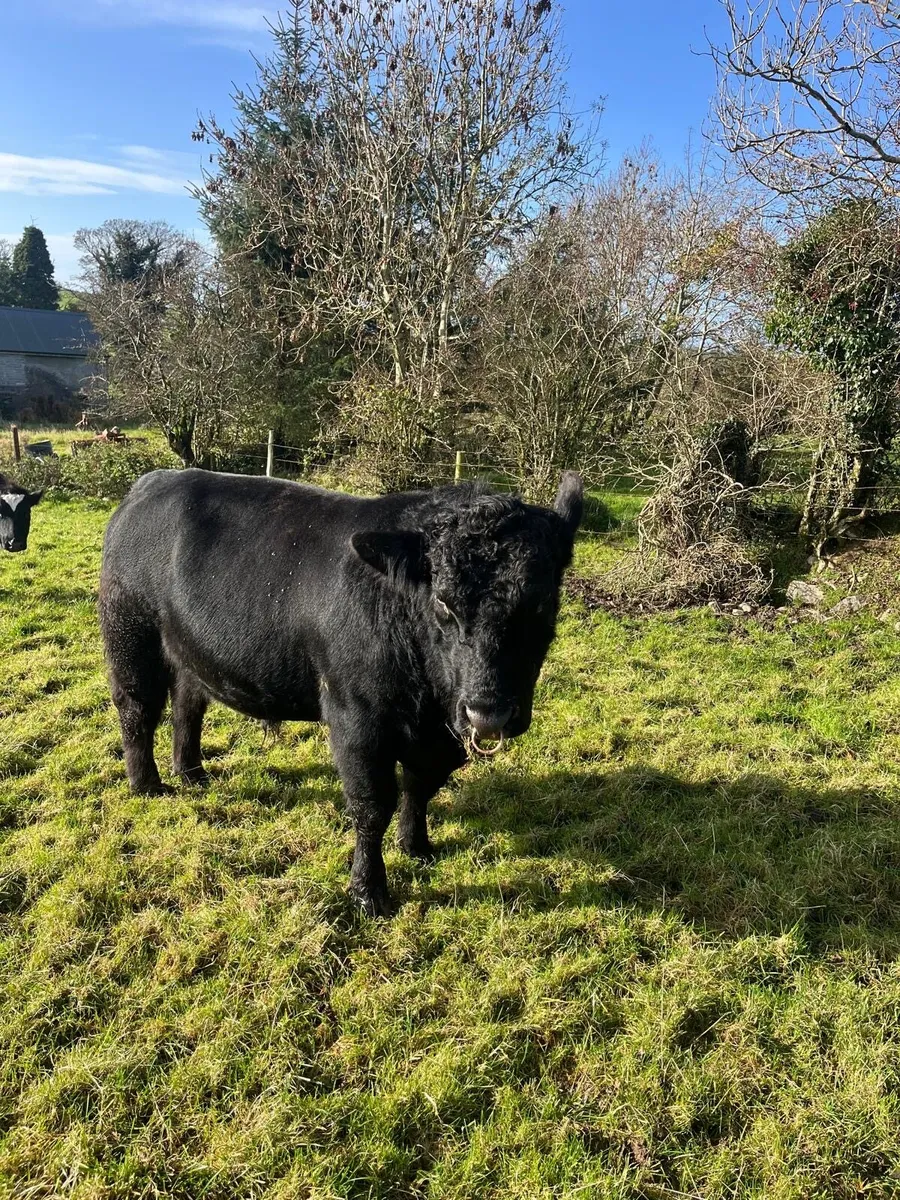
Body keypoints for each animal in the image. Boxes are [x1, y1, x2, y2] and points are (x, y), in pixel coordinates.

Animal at [99, 468, 583, 916]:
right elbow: (372, 806)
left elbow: (420, 788)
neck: (428, 702)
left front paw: (417, 847)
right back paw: (147, 784)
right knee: (137, 709)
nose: (488, 715)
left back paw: (192, 772)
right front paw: (369, 893)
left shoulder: (440, 736)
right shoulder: (356, 720)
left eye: (541, 603)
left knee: (188, 705)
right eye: (443, 602)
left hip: (190, 652)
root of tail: (153, 481)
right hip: (131, 634)